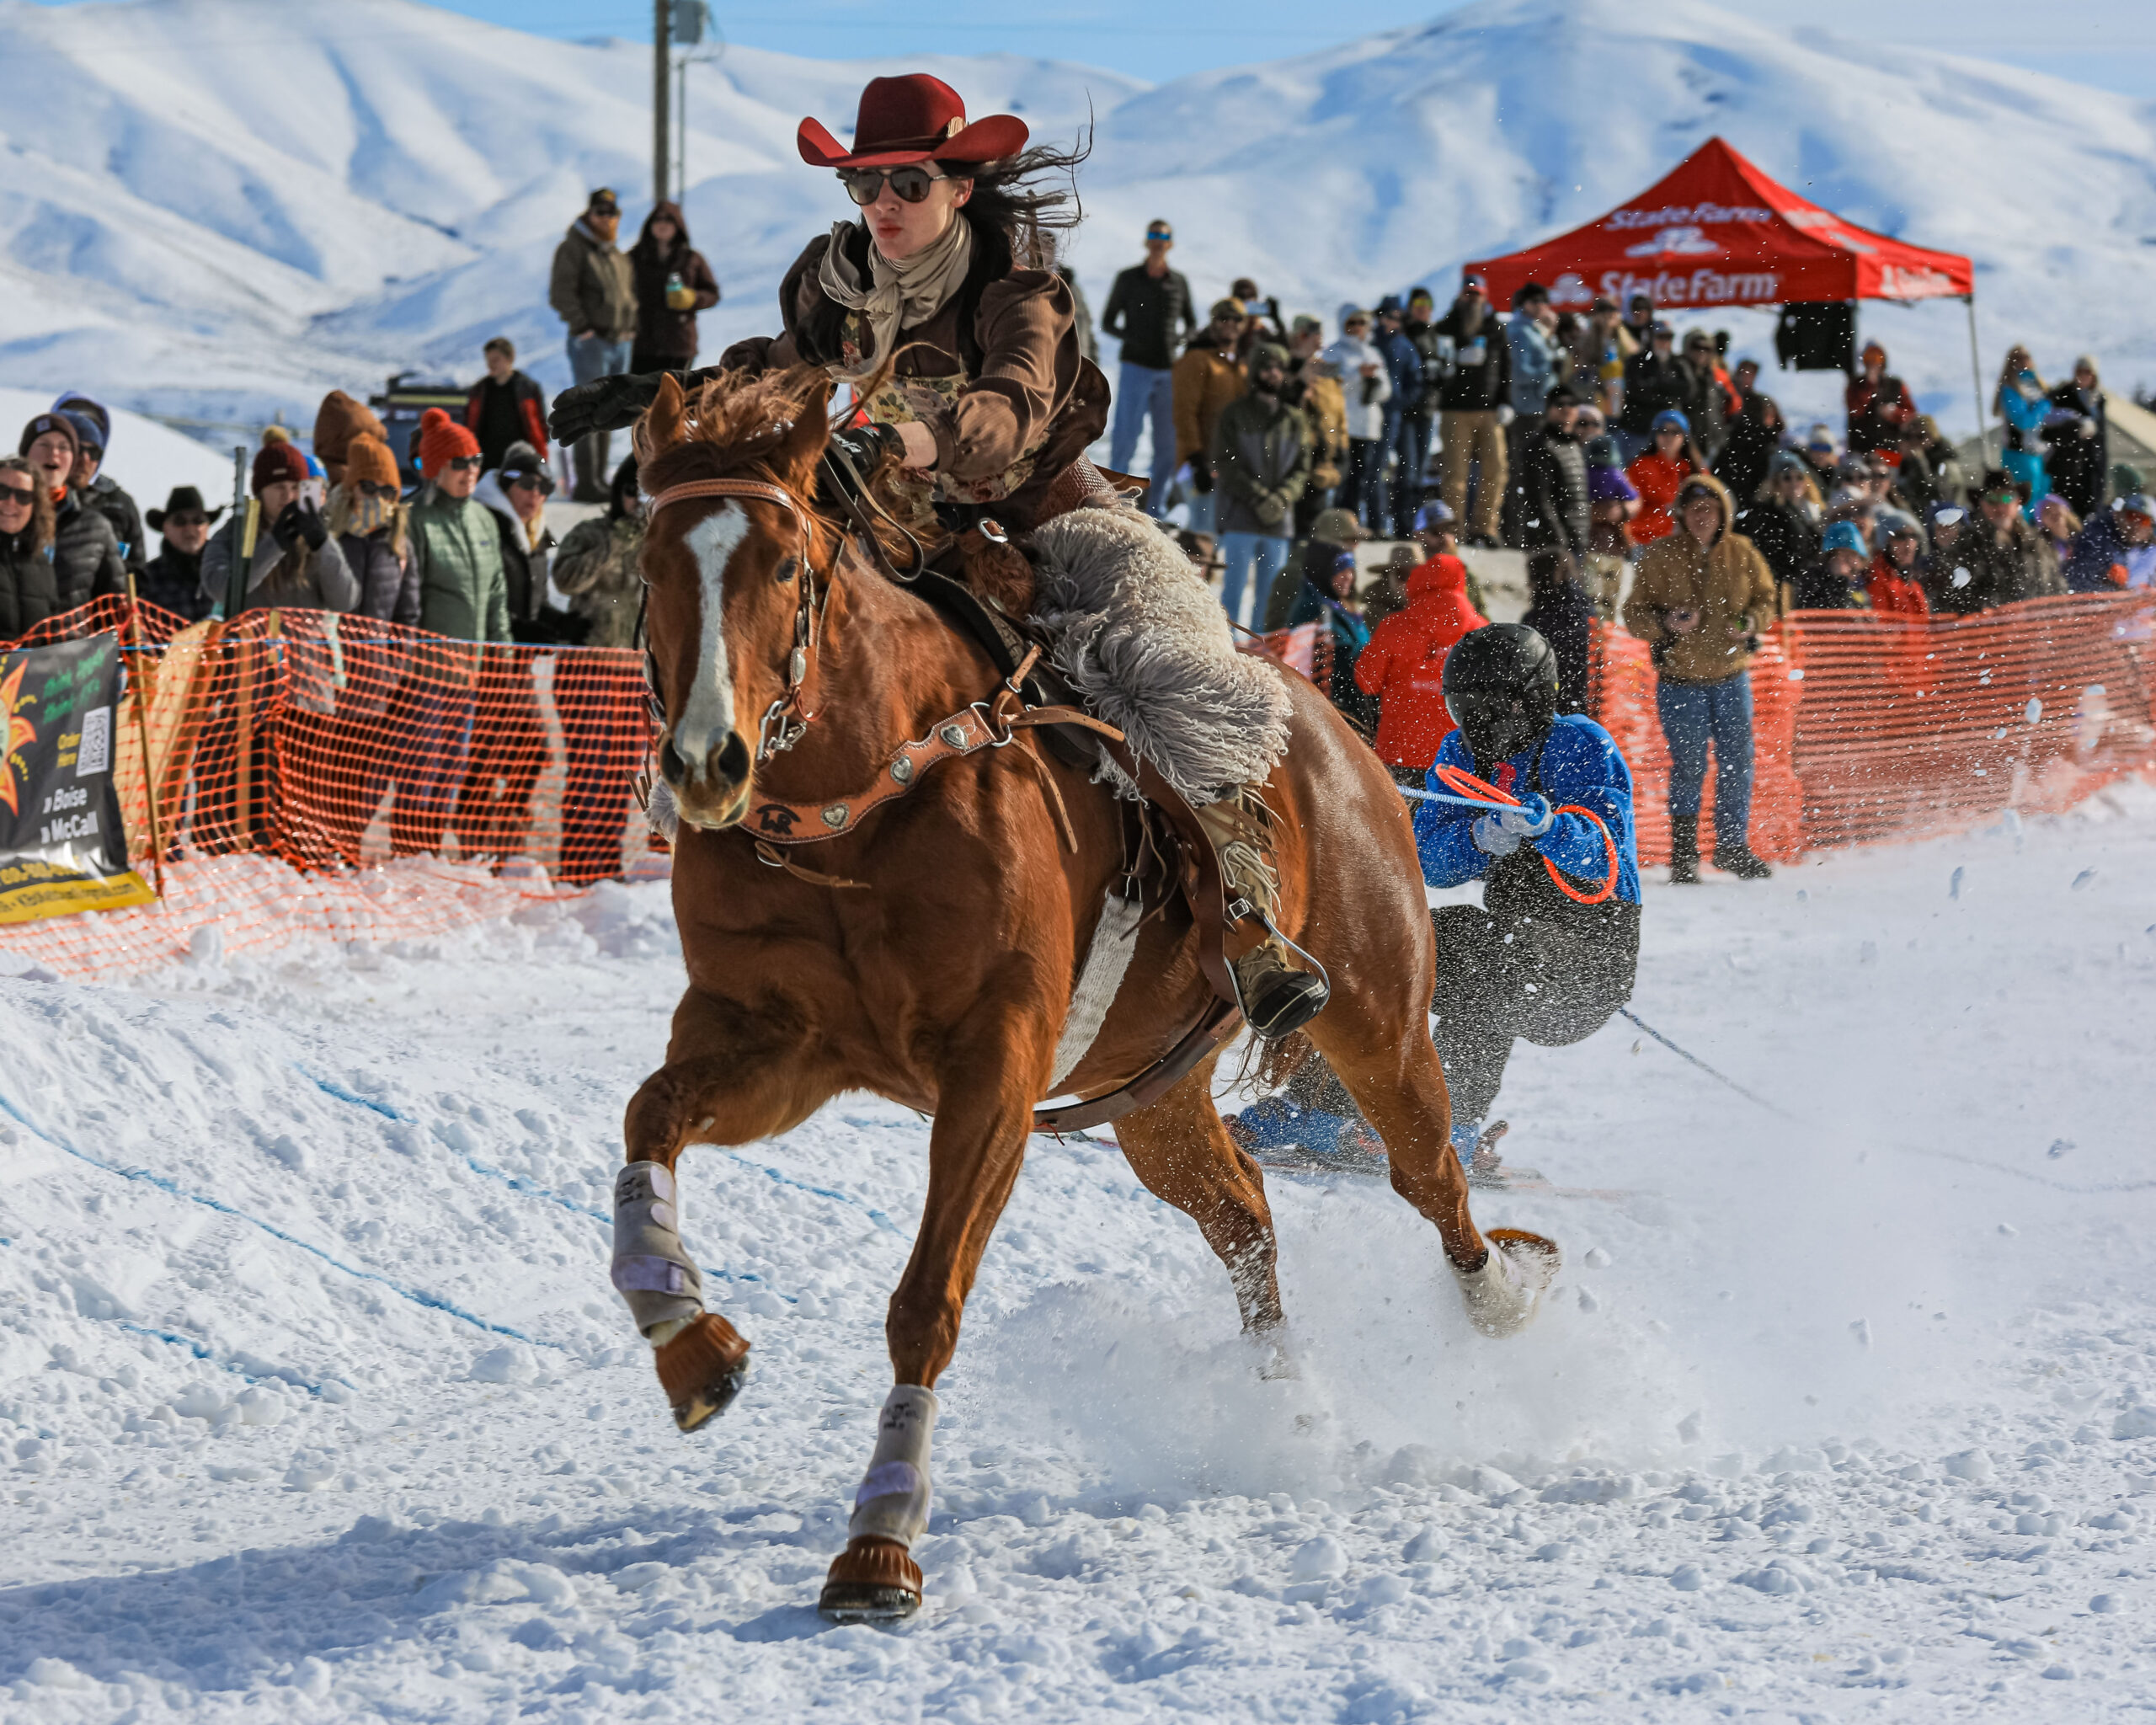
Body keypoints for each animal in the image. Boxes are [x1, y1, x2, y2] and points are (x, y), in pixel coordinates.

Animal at [616, 364, 1561, 1621]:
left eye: (780, 564)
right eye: (651, 562)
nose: (705, 761)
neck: (865, 800)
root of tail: (1337, 731)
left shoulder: (993, 1070)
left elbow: (927, 1297)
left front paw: (881, 1538)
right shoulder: (780, 1044)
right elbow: (651, 1117)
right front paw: (690, 1342)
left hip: (1379, 1015)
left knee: (1428, 1175)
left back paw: (1502, 1294)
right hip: (1152, 1095)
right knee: (1243, 1212)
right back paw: (1285, 1403)